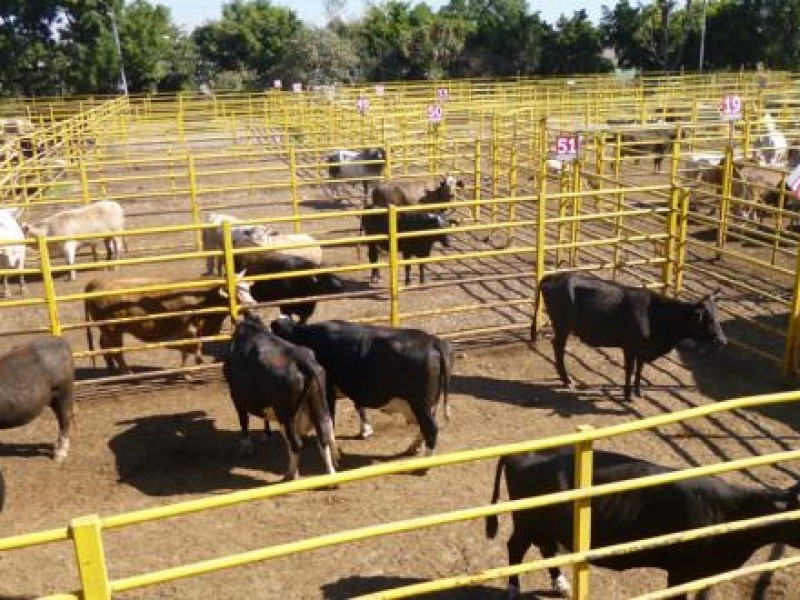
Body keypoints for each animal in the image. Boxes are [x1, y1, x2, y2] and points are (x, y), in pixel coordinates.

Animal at [222, 312, 338, 480]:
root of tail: (302, 360)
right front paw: (266, 436)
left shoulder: (237, 398)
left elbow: (244, 422)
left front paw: (246, 449)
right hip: (318, 408)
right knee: (323, 439)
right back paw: (331, 476)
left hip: (287, 415)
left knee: (296, 444)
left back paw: (292, 475)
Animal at [272, 318, 454, 454]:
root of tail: (433, 341)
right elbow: (359, 406)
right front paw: (365, 430)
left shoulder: (328, 390)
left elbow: (330, 419)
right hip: (427, 404)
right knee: (425, 428)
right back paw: (413, 447)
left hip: (420, 403)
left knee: (431, 429)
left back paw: (424, 465)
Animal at [484, 450, 800, 600]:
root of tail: (522, 453)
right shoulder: (681, 571)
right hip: (527, 521)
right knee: (517, 548)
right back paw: (513, 589)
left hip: (546, 525)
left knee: (546, 548)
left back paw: (560, 585)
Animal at [532, 274, 724, 400]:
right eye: (707, 319)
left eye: (717, 316)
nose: (723, 340)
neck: (655, 314)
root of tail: (554, 276)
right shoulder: (629, 347)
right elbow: (630, 370)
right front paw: (628, 394)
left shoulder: (642, 349)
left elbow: (639, 369)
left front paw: (639, 391)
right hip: (562, 325)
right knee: (558, 347)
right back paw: (567, 380)